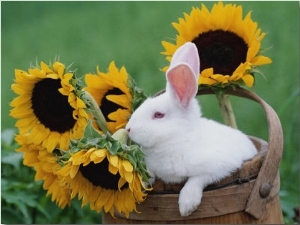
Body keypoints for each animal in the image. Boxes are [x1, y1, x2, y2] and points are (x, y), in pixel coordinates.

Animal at [125, 41, 256, 216]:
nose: (128, 129)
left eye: (158, 115)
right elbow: (149, 173)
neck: (178, 139)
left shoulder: (218, 168)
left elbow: (196, 180)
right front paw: (144, 184)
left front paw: (187, 206)